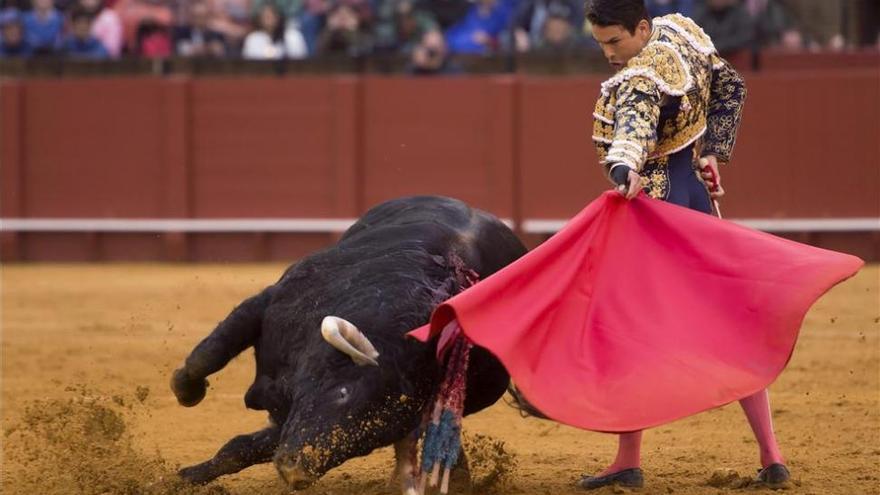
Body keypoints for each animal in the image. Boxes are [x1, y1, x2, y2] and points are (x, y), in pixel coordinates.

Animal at [173, 197, 528, 492]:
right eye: (343, 393)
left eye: (374, 434)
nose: (296, 470)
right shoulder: (266, 303)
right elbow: (206, 356)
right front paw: (188, 406)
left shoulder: (293, 418)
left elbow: (243, 447)